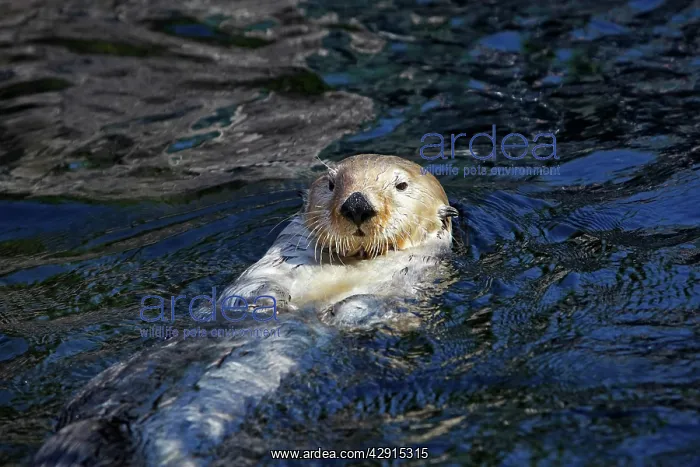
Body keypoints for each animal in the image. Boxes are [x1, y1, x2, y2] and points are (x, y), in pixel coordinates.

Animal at [33, 154, 459, 466]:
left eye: (400, 185)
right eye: (332, 183)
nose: (356, 204)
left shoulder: (410, 279)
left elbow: (373, 307)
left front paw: (345, 314)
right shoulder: (279, 257)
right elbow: (254, 288)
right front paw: (272, 303)